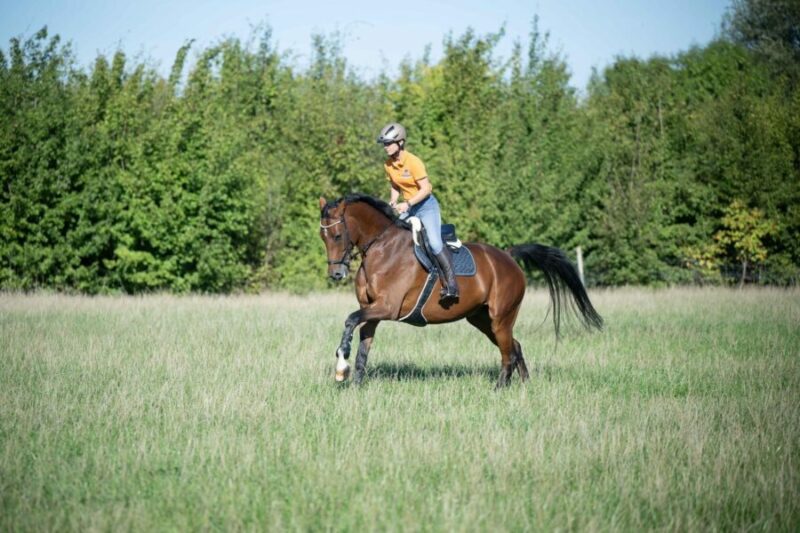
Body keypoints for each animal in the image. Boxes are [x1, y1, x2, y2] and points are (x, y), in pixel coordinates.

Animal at [318, 193, 600, 388]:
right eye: (323, 237)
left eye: (337, 235)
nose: (336, 274)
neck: (382, 247)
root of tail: (508, 257)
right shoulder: (372, 310)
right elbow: (363, 346)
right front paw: (356, 384)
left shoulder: (387, 307)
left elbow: (350, 320)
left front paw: (341, 366)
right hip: (482, 319)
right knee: (514, 346)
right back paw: (522, 385)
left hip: (501, 317)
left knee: (507, 352)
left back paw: (499, 388)